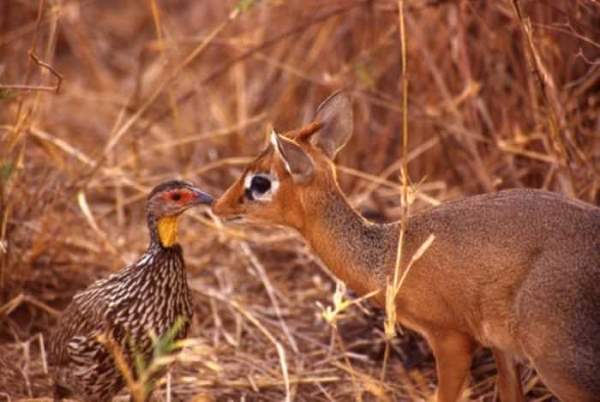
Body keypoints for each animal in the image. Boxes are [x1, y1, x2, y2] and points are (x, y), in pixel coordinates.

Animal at [214, 92, 600, 400]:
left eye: (260, 183)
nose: (218, 207)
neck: (387, 256)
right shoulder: (502, 350)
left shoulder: (452, 340)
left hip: (559, 365)